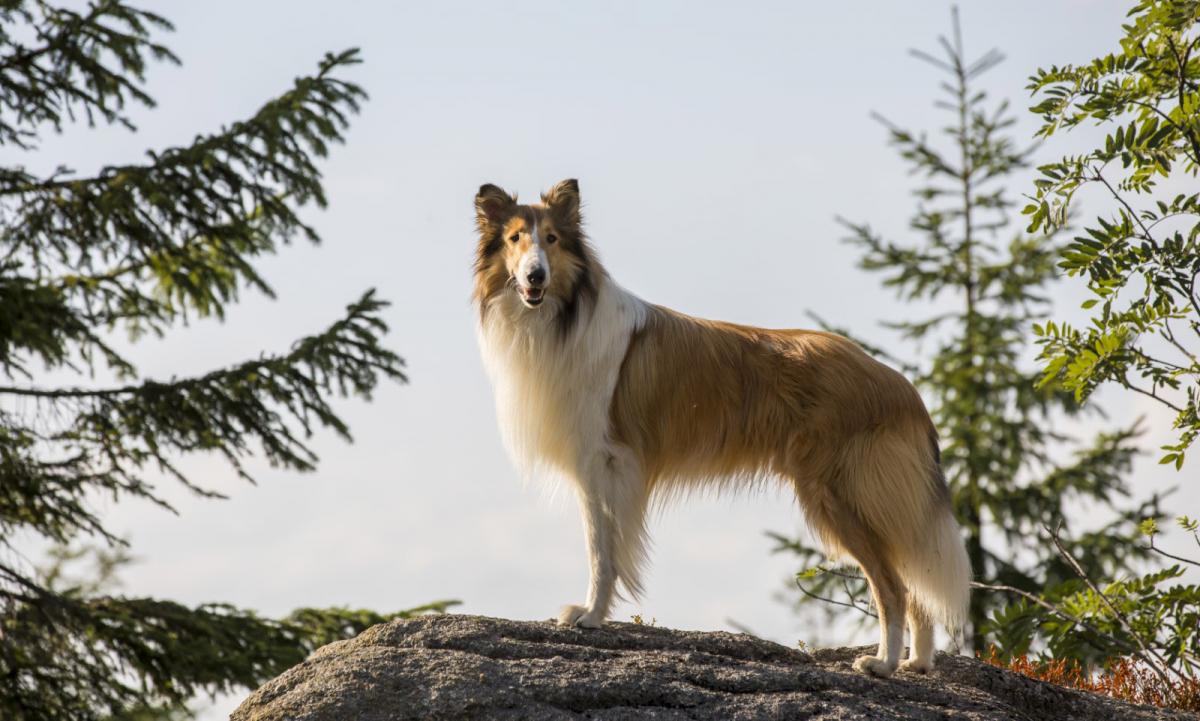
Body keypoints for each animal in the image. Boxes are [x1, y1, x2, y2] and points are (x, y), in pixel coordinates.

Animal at [472, 178, 969, 676]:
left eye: (552, 239)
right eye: (515, 238)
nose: (535, 277)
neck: (564, 316)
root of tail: (902, 387)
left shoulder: (604, 462)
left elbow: (602, 550)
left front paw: (589, 616)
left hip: (841, 494)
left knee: (894, 586)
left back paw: (881, 663)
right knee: (916, 583)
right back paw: (917, 663)